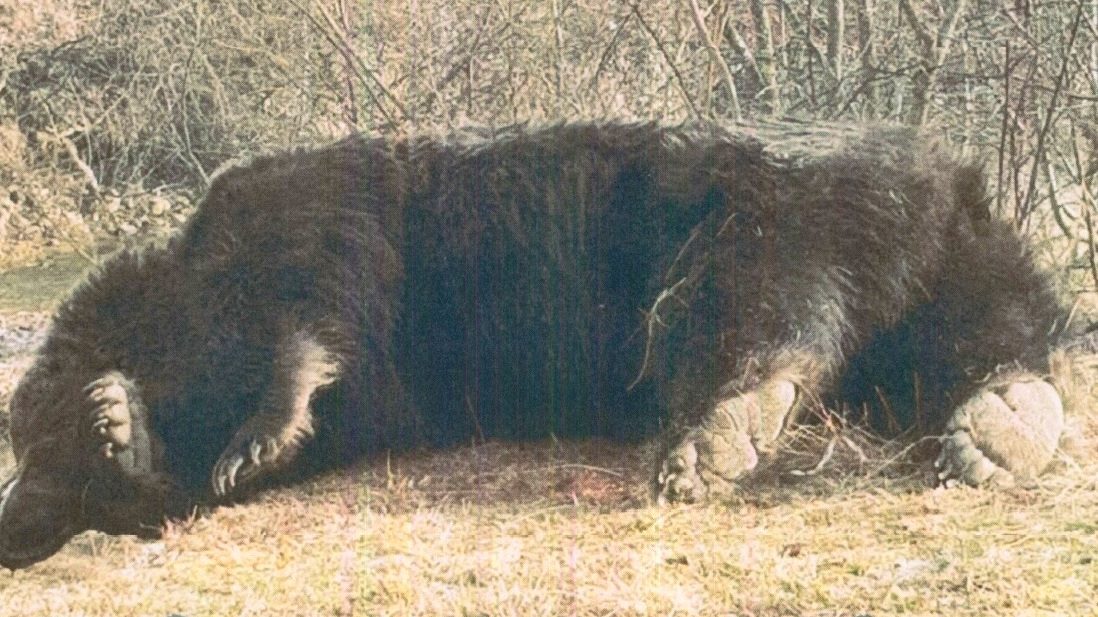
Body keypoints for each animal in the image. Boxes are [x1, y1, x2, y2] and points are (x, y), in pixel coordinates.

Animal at [0, 121, 1076, 566]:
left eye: (27, 447)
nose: (10, 523)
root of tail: (945, 183)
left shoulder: (299, 218)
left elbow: (318, 309)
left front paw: (172, 422)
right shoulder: (383, 393)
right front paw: (132, 431)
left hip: (783, 199)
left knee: (764, 293)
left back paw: (717, 436)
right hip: (946, 253)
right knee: (977, 325)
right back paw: (1000, 423)